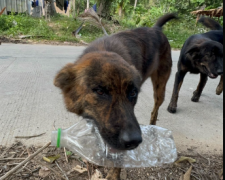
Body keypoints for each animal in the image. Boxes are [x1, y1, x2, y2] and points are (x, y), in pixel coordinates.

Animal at [54, 13, 176, 179]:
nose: (134, 141)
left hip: (160, 88)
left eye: (133, 93)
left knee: (155, 109)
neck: (105, 49)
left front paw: (113, 174)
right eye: (100, 91)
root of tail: (156, 29)